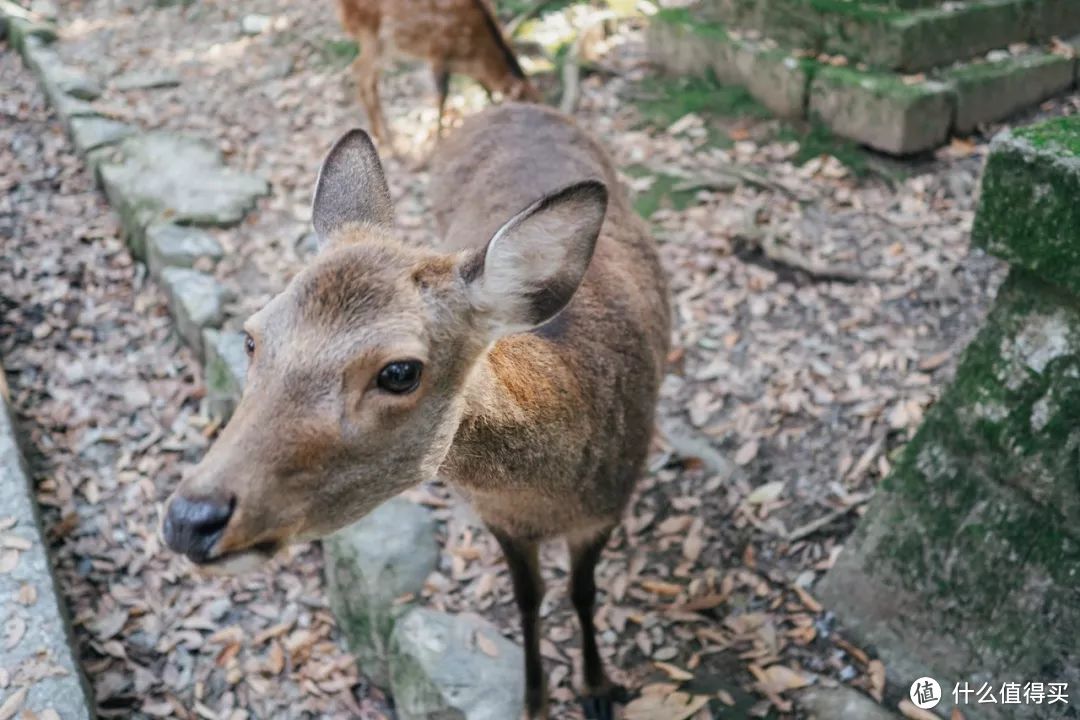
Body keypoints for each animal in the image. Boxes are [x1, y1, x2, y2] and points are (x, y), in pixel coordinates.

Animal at [160, 102, 669, 720]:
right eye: (252, 337)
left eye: (400, 372)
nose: (190, 519)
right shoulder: (497, 518)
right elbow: (528, 597)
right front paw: (534, 700)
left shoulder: (609, 506)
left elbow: (582, 592)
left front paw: (596, 689)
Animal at [336, 0, 540, 144]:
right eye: (524, 107)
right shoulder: (438, 52)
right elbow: (442, 96)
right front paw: (438, 143)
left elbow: (486, 90)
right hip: (370, 32)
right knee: (360, 73)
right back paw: (386, 138)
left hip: (386, 45)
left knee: (364, 75)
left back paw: (381, 134)